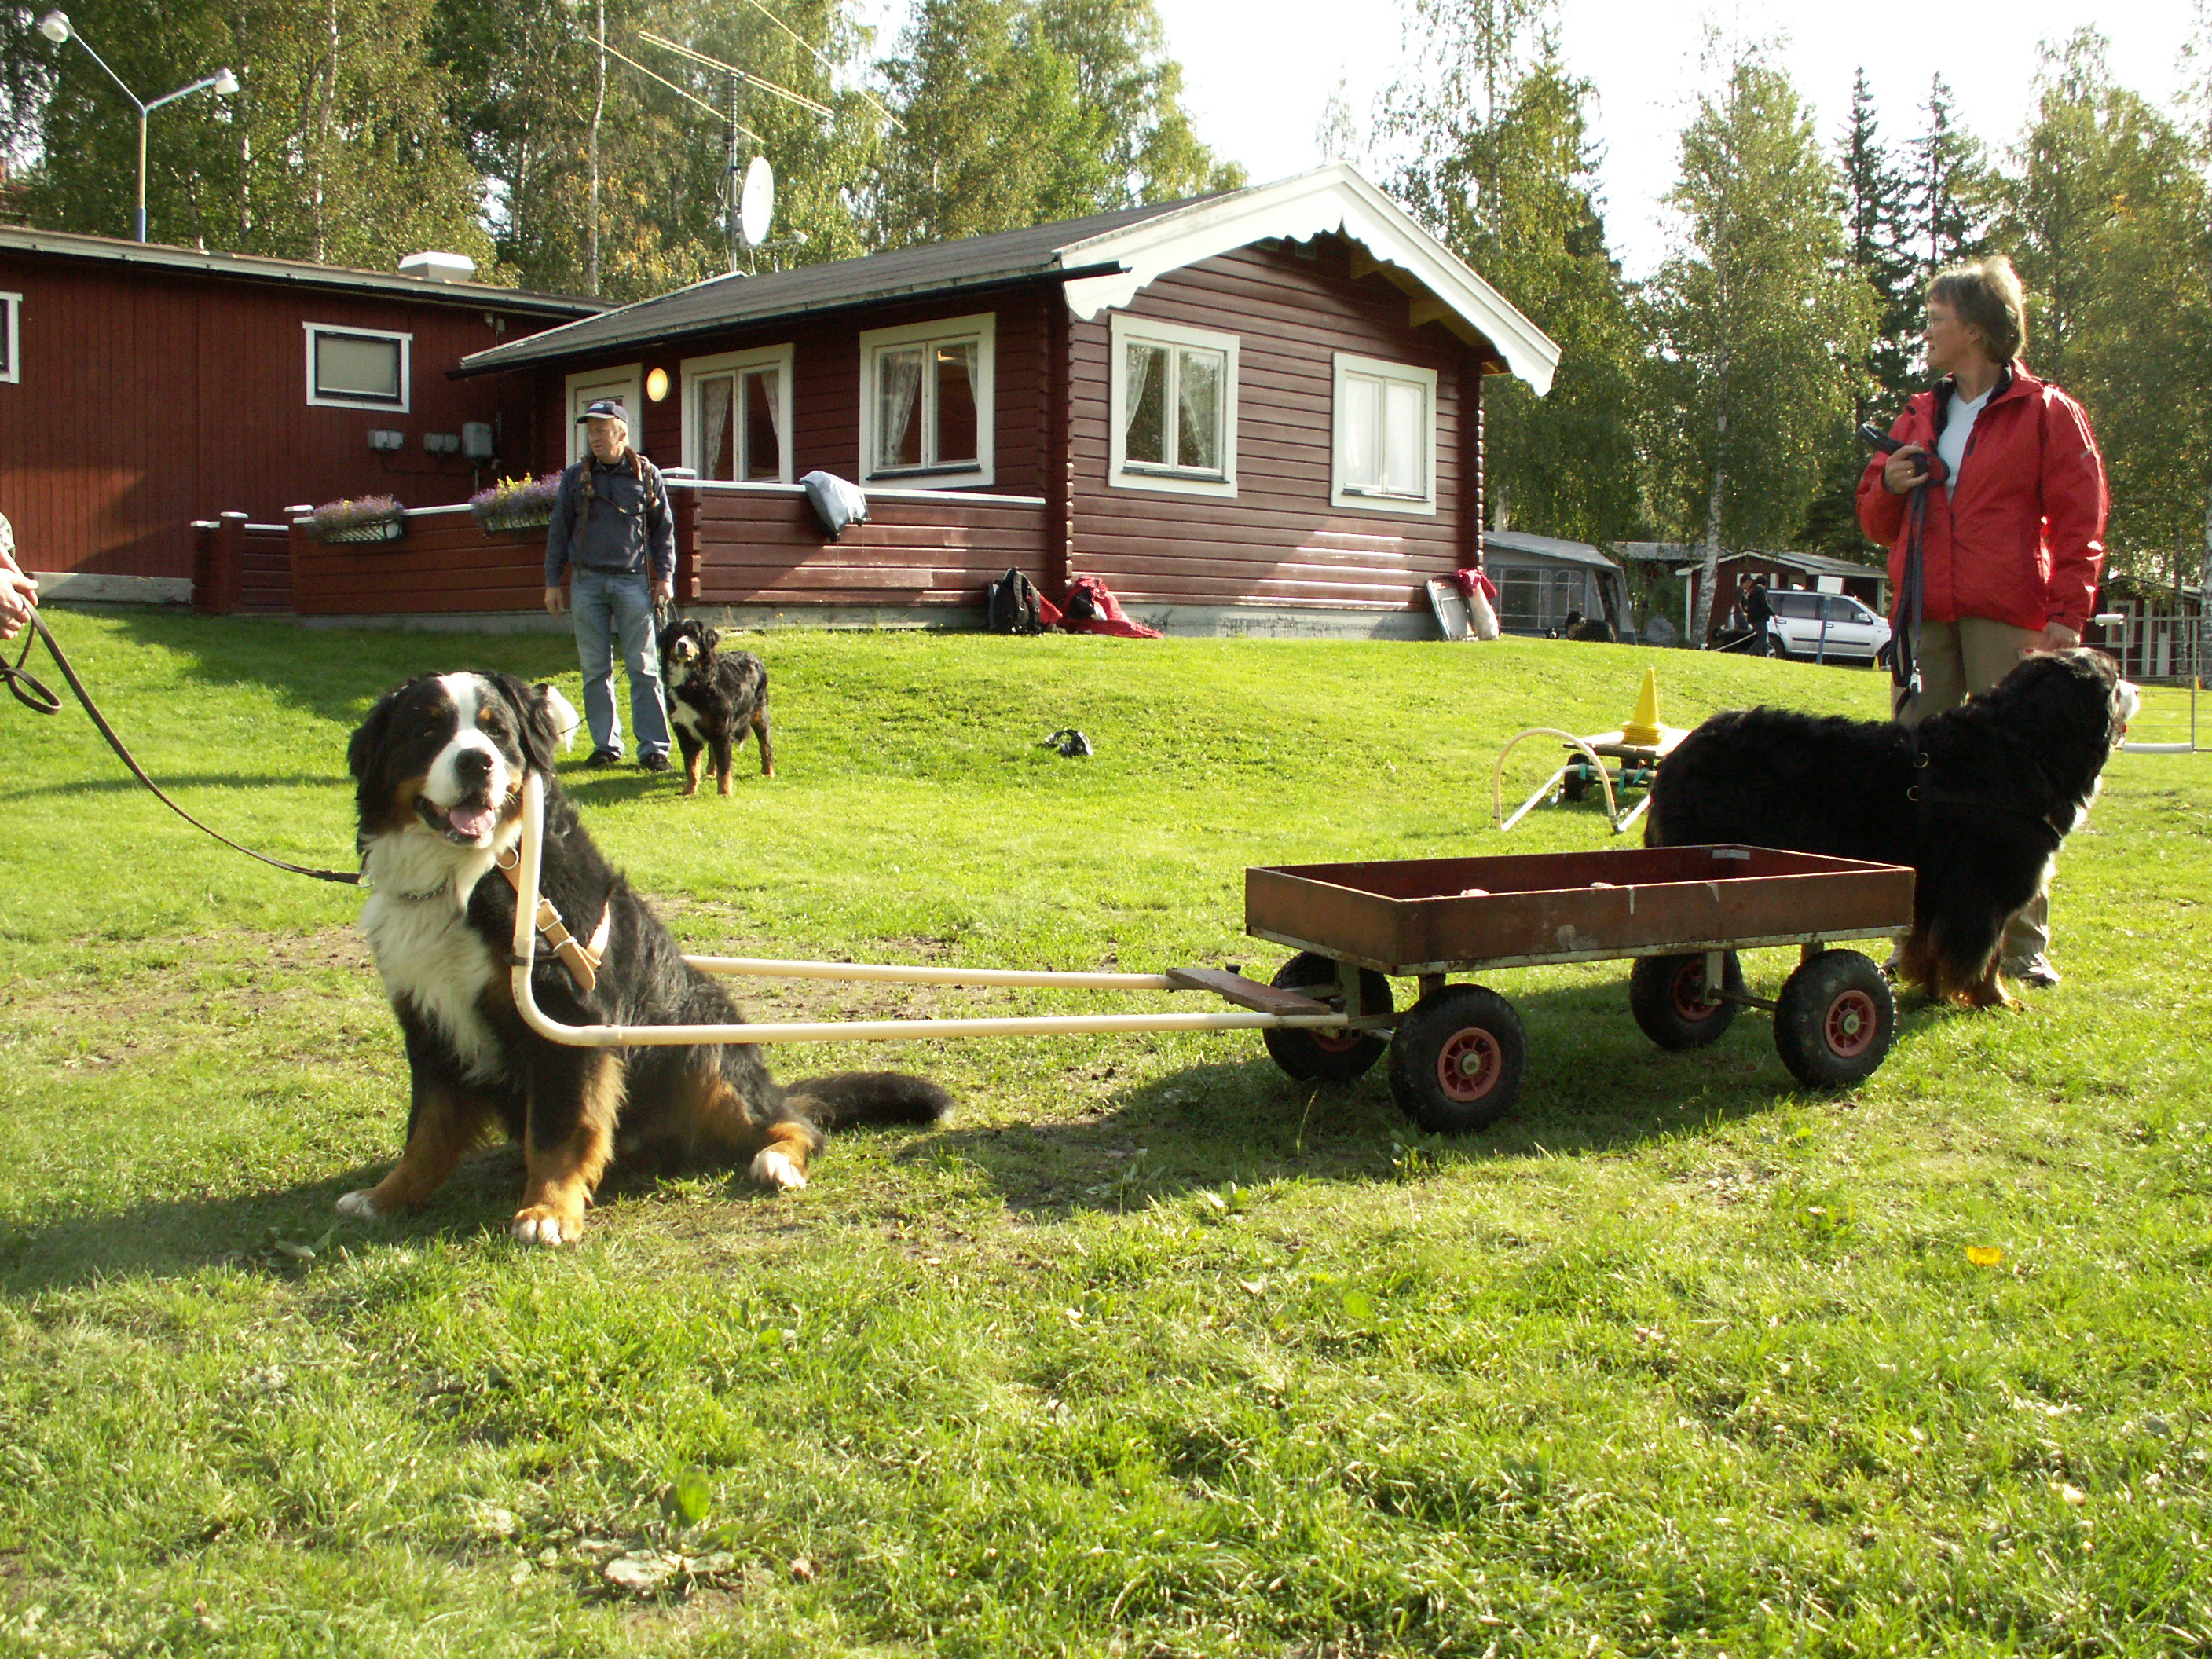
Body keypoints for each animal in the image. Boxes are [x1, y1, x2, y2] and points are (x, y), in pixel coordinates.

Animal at [339, 671, 949, 1245]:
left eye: (497, 731)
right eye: (428, 730)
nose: (476, 761)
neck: (470, 876)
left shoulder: (569, 1017)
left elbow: (558, 1131)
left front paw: (548, 1211)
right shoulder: (428, 1020)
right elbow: (427, 1131)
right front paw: (386, 1195)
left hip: (703, 1053)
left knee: (794, 1122)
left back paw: (776, 1159)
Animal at [659, 619, 772, 797]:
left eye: (694, 635)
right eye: (675, 635)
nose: (682, 644)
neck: (692, 683)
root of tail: (752, 655)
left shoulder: (722, 731)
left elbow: (725, 768)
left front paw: (724, 793)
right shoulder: (684, 732)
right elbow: (691, 766)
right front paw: (689, 790)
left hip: (759, 713)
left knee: (765, 744)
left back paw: (768, 772)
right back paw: (711, 771)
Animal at [1645, 649, 2137, 1009]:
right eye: (2115, 681)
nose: (2137, 687)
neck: (2022, 747)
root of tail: (1681, 751)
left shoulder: (1935, 892)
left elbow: (1931, 947)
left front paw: (1936, 990)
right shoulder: (1983, 890)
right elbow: (1989, 954)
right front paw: (1994, 1000)